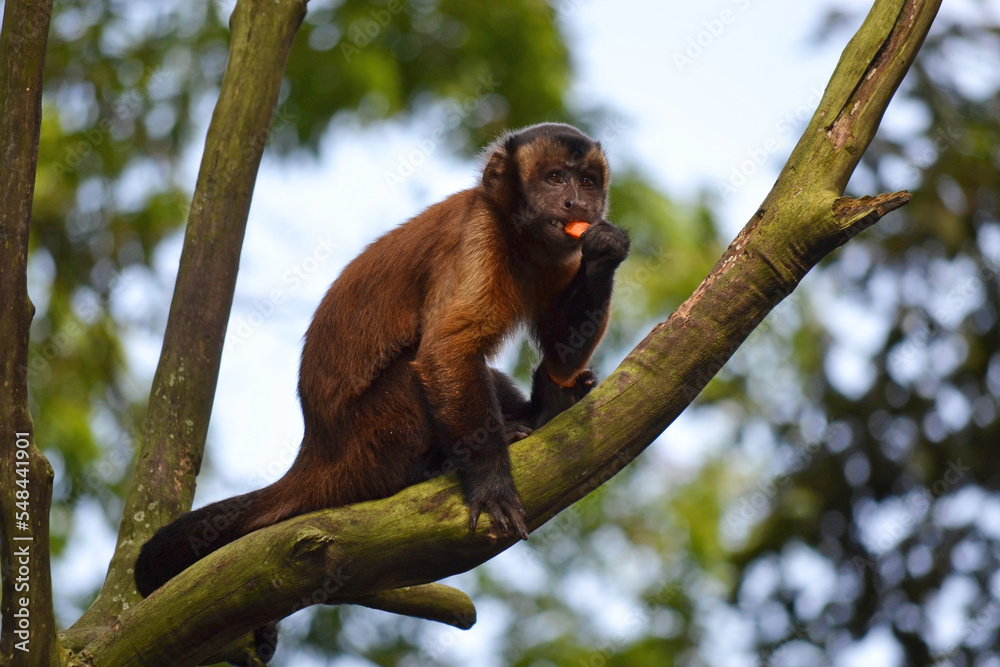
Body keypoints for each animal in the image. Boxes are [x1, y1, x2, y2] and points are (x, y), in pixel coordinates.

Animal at [133, 122, 628, 612]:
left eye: (587, 182)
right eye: (554, 179)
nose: (578, 204)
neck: (517, 236)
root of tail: (317, 451)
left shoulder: (559, 252)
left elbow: (560, 352)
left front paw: (604, 254)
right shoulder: (477, 236)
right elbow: (446, 352)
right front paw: (491, 484)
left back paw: (545, 409)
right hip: (372, 442)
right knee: (415, 373)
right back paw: (437, 464)